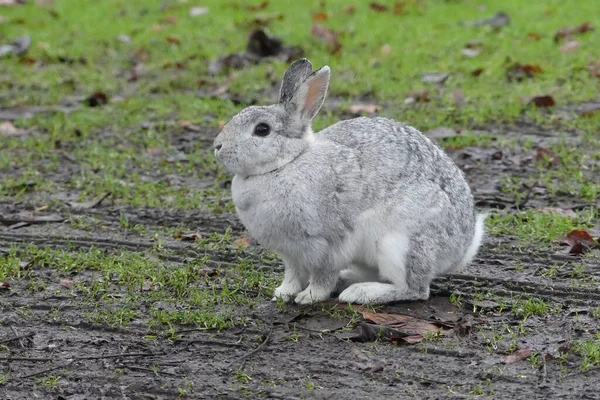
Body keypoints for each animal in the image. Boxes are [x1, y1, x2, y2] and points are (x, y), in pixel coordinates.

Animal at [213, 57, 486, 304]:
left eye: (262, 130)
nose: (217, 146)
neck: (286, 163)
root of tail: (463, 247)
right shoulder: (291, 256)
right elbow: (293, 276)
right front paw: (283, 293)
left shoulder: (324, 247)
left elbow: (321, 277)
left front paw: (308, 297)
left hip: (399, 244)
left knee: (414, 289)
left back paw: (359, 293)